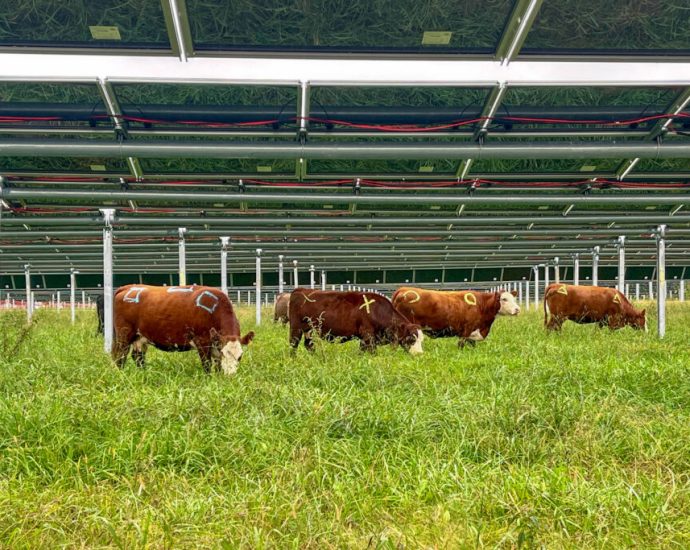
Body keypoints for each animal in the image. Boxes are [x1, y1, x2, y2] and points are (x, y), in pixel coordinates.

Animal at [112, 284, 254, 374]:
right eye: (225, 353)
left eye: (240, 356)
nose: (231, 376)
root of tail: (128, 287)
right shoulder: (202, 342)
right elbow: (207, 365)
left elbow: (218, 366)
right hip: (124, 335)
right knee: (120, 357)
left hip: (140, 338)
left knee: (138, 357)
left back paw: (143, 374)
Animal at [288, 288, 423, 354]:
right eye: (411, 338)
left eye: (421, 340)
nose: (419, 354)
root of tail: (300, 289)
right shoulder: (368, 335)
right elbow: (372, 352)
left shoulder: (365, 338)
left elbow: (361, 351)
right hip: (296, 327)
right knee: (293, 344)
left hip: (309, 330)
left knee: (308, 345)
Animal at [392, 287, 520, 348]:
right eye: (504, 299)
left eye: (514, 298)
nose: (517, 309)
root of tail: (403, 289)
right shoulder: (466, 330)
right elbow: (461, 345)